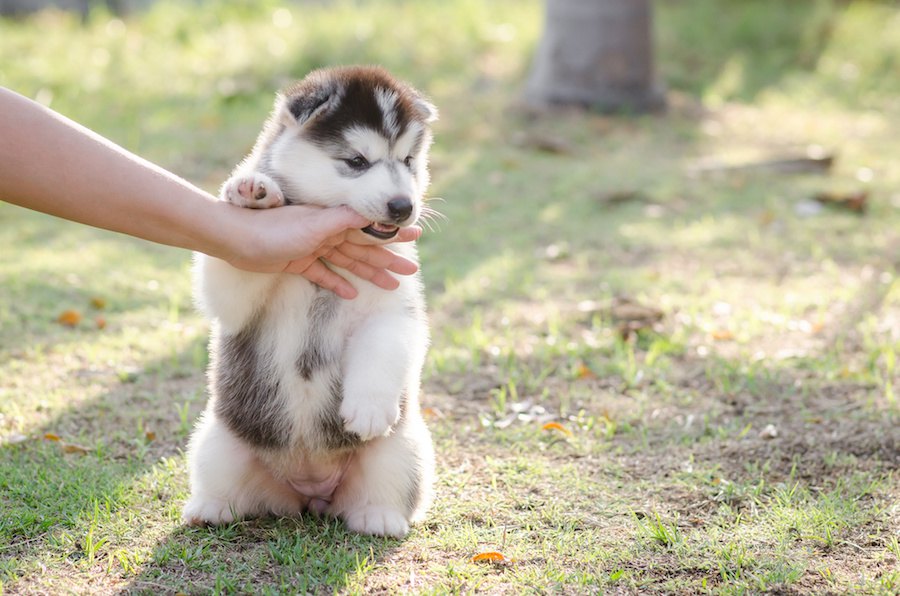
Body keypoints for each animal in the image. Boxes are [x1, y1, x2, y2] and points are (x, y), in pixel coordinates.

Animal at [183, 67, 436, 536]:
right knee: (225, 484)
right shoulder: (238, 303)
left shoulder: (394, 306)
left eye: (409, 160)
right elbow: (232, 279)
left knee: (386, 486)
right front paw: (254, 193)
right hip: (216, 441)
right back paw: (211, 507)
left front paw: (368, 407)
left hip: (405, 447)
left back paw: (379, 517)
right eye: (356, 161)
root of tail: (310, 490)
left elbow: (384, 344)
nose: (402, 206)